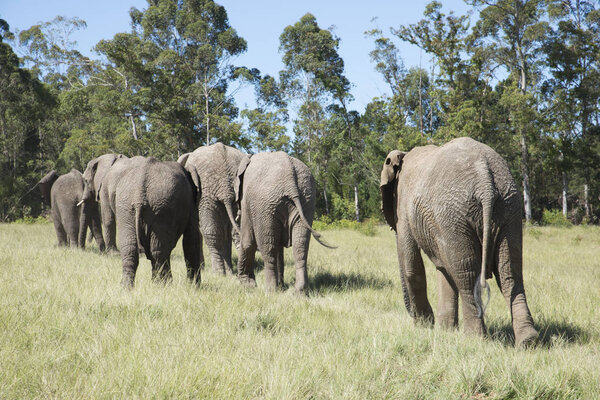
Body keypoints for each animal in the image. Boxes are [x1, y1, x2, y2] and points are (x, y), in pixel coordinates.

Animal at [115, 156, 202, 288]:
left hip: (125, 207)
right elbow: (192, 239)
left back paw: (127, 287)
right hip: (163, 208)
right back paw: (165, 285)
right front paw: (195, 287)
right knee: (159, 251)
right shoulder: (191, 205)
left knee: (129, 249)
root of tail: (139, 193)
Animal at [234, 152, 336, 292]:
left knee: (268, 249)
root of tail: (289, 177)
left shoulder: (246, 201)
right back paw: (299, 292)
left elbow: (247, 241)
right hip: (306, 200)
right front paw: (281, 287)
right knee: (300, 247)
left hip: (265, 205)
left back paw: (270, 291)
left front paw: (248, 285)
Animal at [380, 137, 540, 346]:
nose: (412, 315)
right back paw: (528, 341)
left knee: (467, 274)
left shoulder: (405, 205)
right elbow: (443, 268)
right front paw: (444, 330)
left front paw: (425, 326)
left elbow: (411, 266)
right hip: (508, 208)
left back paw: (474, 338)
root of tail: (485, 181)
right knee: (510, 273)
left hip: (456, 215)